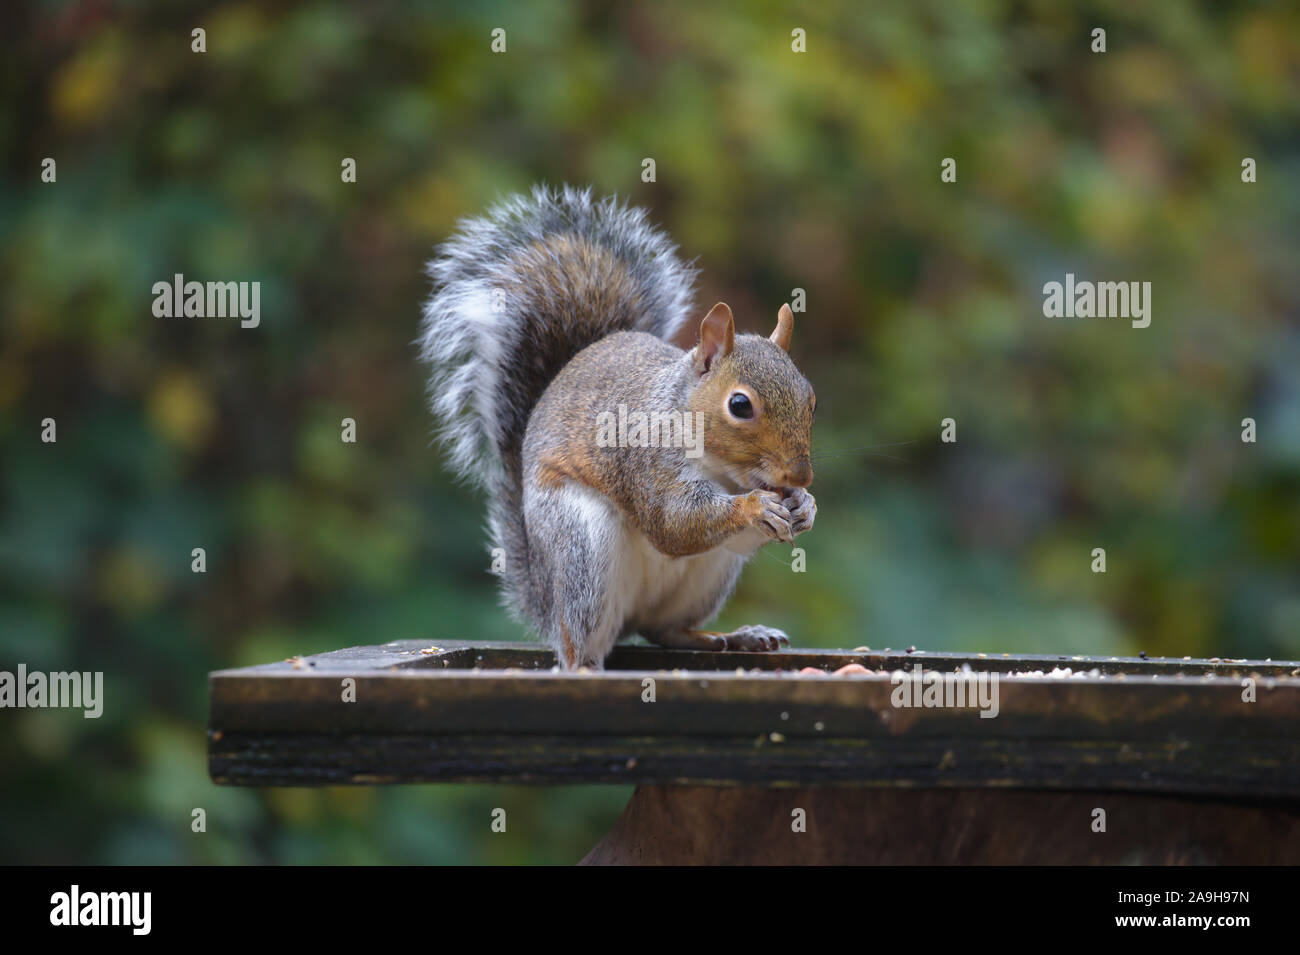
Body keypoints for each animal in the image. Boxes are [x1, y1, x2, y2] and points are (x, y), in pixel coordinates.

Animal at [421, 183, 816, 670]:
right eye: (740, 405)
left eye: (810, 397)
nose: (800, 475)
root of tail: (544, 596)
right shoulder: (644, 460)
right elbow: (672, 524)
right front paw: (755, 506)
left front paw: (805, 506)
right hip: (581, 547)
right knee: (577, 640)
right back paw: (584, 665)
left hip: (709, 575)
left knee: (663, 629)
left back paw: (736, 636)